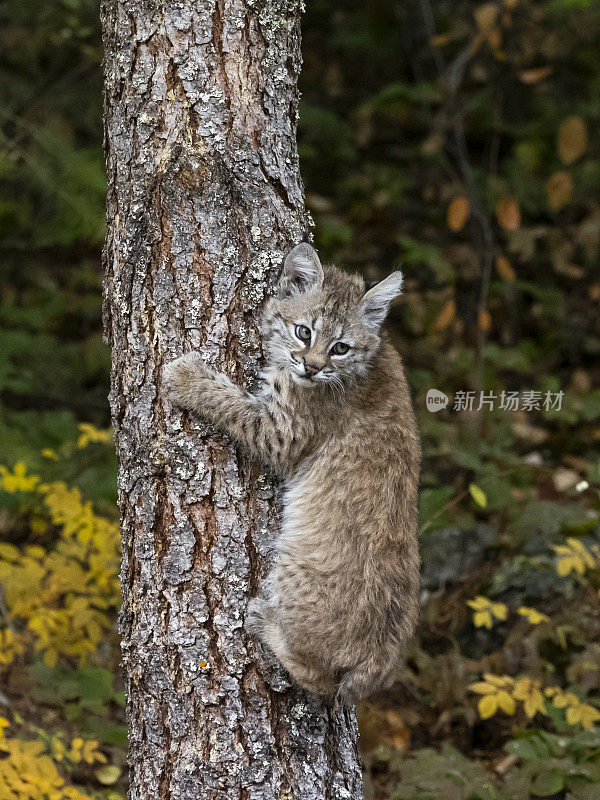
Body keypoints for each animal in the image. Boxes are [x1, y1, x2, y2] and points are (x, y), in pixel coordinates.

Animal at [162, 244, 420, 708]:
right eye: (303, 332)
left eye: (340, 347)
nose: (313, 368)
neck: (369, 360)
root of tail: (382, 662)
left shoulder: (281, 434)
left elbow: (234, 405)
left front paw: (186, 376)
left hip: (294, 566)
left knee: (320, 680)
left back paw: (264, 623)